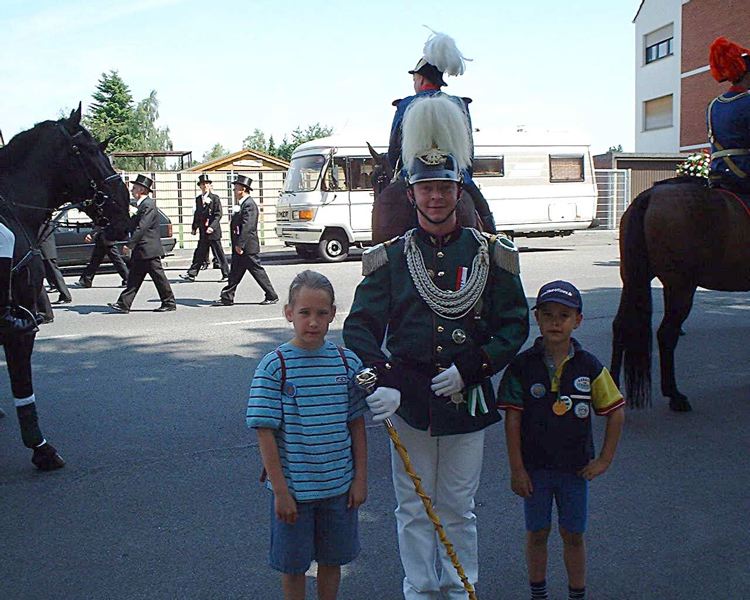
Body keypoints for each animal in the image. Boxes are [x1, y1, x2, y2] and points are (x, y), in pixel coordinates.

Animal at [612, 177, 750, 412]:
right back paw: (675, 395)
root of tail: (649, 196)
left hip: (632, 280)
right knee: (667, 334)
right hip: (680, 287)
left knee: (620, 326)